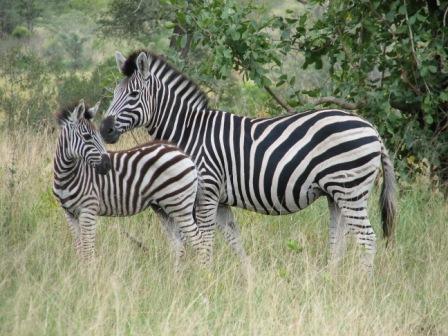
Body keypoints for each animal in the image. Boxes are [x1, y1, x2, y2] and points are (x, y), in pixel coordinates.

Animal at [53, 99, 206, 266]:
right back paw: (176, 273)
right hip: (163, 208)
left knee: (199, 241)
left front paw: (89, 270)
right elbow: (79, 248)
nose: (107, 165)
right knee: (178, 246)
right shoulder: (69, 213)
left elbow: (88, 249)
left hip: (180, 205)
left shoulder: (88, 209)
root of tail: (183, 153)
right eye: (86, 137)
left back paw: (203, 271)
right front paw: (81, 269)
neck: (66, 175)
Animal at [100, 49, 396, 270]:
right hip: (337, 193)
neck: (190, 130)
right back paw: (331, 281)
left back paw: (361, 285)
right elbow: (234, 241)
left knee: (368, 239)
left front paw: (204, 281)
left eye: (133, 95)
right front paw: (245, 281)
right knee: (339, 240)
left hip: (350, 189)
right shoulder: (219, 199)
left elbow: (204, 240)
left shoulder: (206, 192)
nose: (104, 129)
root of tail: (372, 129)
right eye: (114, 93)